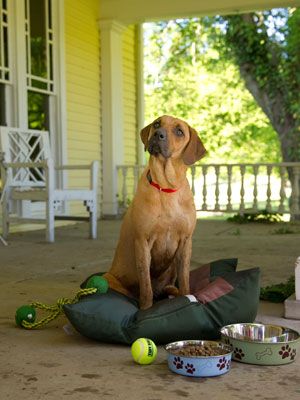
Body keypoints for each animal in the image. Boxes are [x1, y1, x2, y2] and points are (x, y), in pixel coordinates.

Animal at [103, 115, 206, 310]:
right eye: (157, 123)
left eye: (179, 131)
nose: (158, 134)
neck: (166, 187)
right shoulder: (143, 241)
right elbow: (145, 284)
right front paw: (146, 309)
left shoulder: (185, 241)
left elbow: (185, 279)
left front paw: (187, 297)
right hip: (110, 278)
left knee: (170, 286)